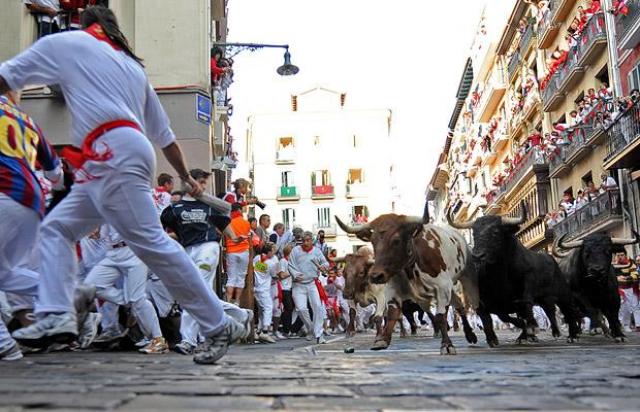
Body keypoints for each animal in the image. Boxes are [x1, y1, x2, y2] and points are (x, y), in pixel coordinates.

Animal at [448, 203, 584, 344]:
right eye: (474, 233)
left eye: (496, 232)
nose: (477, 256)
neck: (500, 273)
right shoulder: (491, 301)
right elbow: (499, 317)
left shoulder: (525, 287)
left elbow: (525, 306)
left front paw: (530, 328)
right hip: (545, 299)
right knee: (551, 311)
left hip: (563, 293)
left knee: (568, 310)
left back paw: (572, 335)